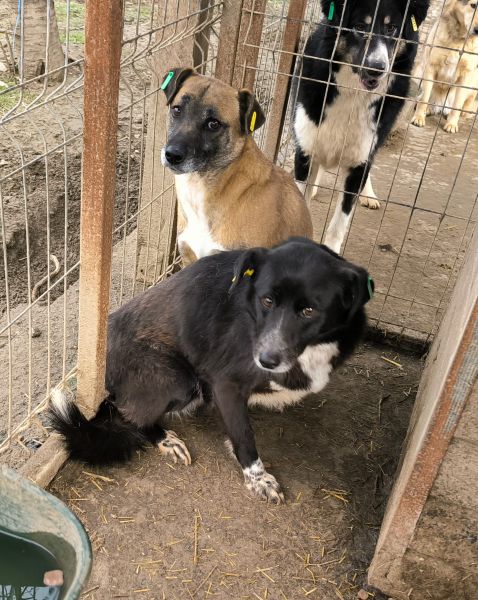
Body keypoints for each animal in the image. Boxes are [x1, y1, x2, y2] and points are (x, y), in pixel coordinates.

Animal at [49, 238, 373, 504]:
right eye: (267, 300)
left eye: (309, 311)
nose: (267, 360)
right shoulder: (226, 383)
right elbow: (244, 436)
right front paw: (258, 479)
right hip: (179, 380)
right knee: (129, 416)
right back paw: (166, 439)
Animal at [293, 0, 430, 254]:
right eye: (359, 26)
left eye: (391, 29)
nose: (377, 67)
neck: (352, 93)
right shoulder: (304, 149)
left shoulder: (360, 163)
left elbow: (340, 222)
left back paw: (368, 195)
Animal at [412, 0, 478, 133]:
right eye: (474, 5)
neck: (460, 41)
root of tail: (440, 103)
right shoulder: (430, 67)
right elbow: (424, 98)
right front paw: (419, 117)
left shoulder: (466, 76)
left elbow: (457, 104)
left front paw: (452, 123)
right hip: (418, 73)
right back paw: (428, 109)